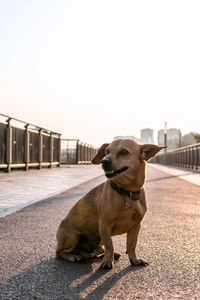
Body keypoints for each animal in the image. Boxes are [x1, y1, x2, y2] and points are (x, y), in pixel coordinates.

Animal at [55, 139, 164, 270]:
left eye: (124, 152)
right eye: (106, 151)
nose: (104, 161)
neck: (127, 193)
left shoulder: (135, 226)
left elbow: (131, 245)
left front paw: (134, 260)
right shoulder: (104, 225)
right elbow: (109, 245)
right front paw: (107, 261)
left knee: (98, 250)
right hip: (73, 236)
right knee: (59, 253)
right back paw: (74, 256)